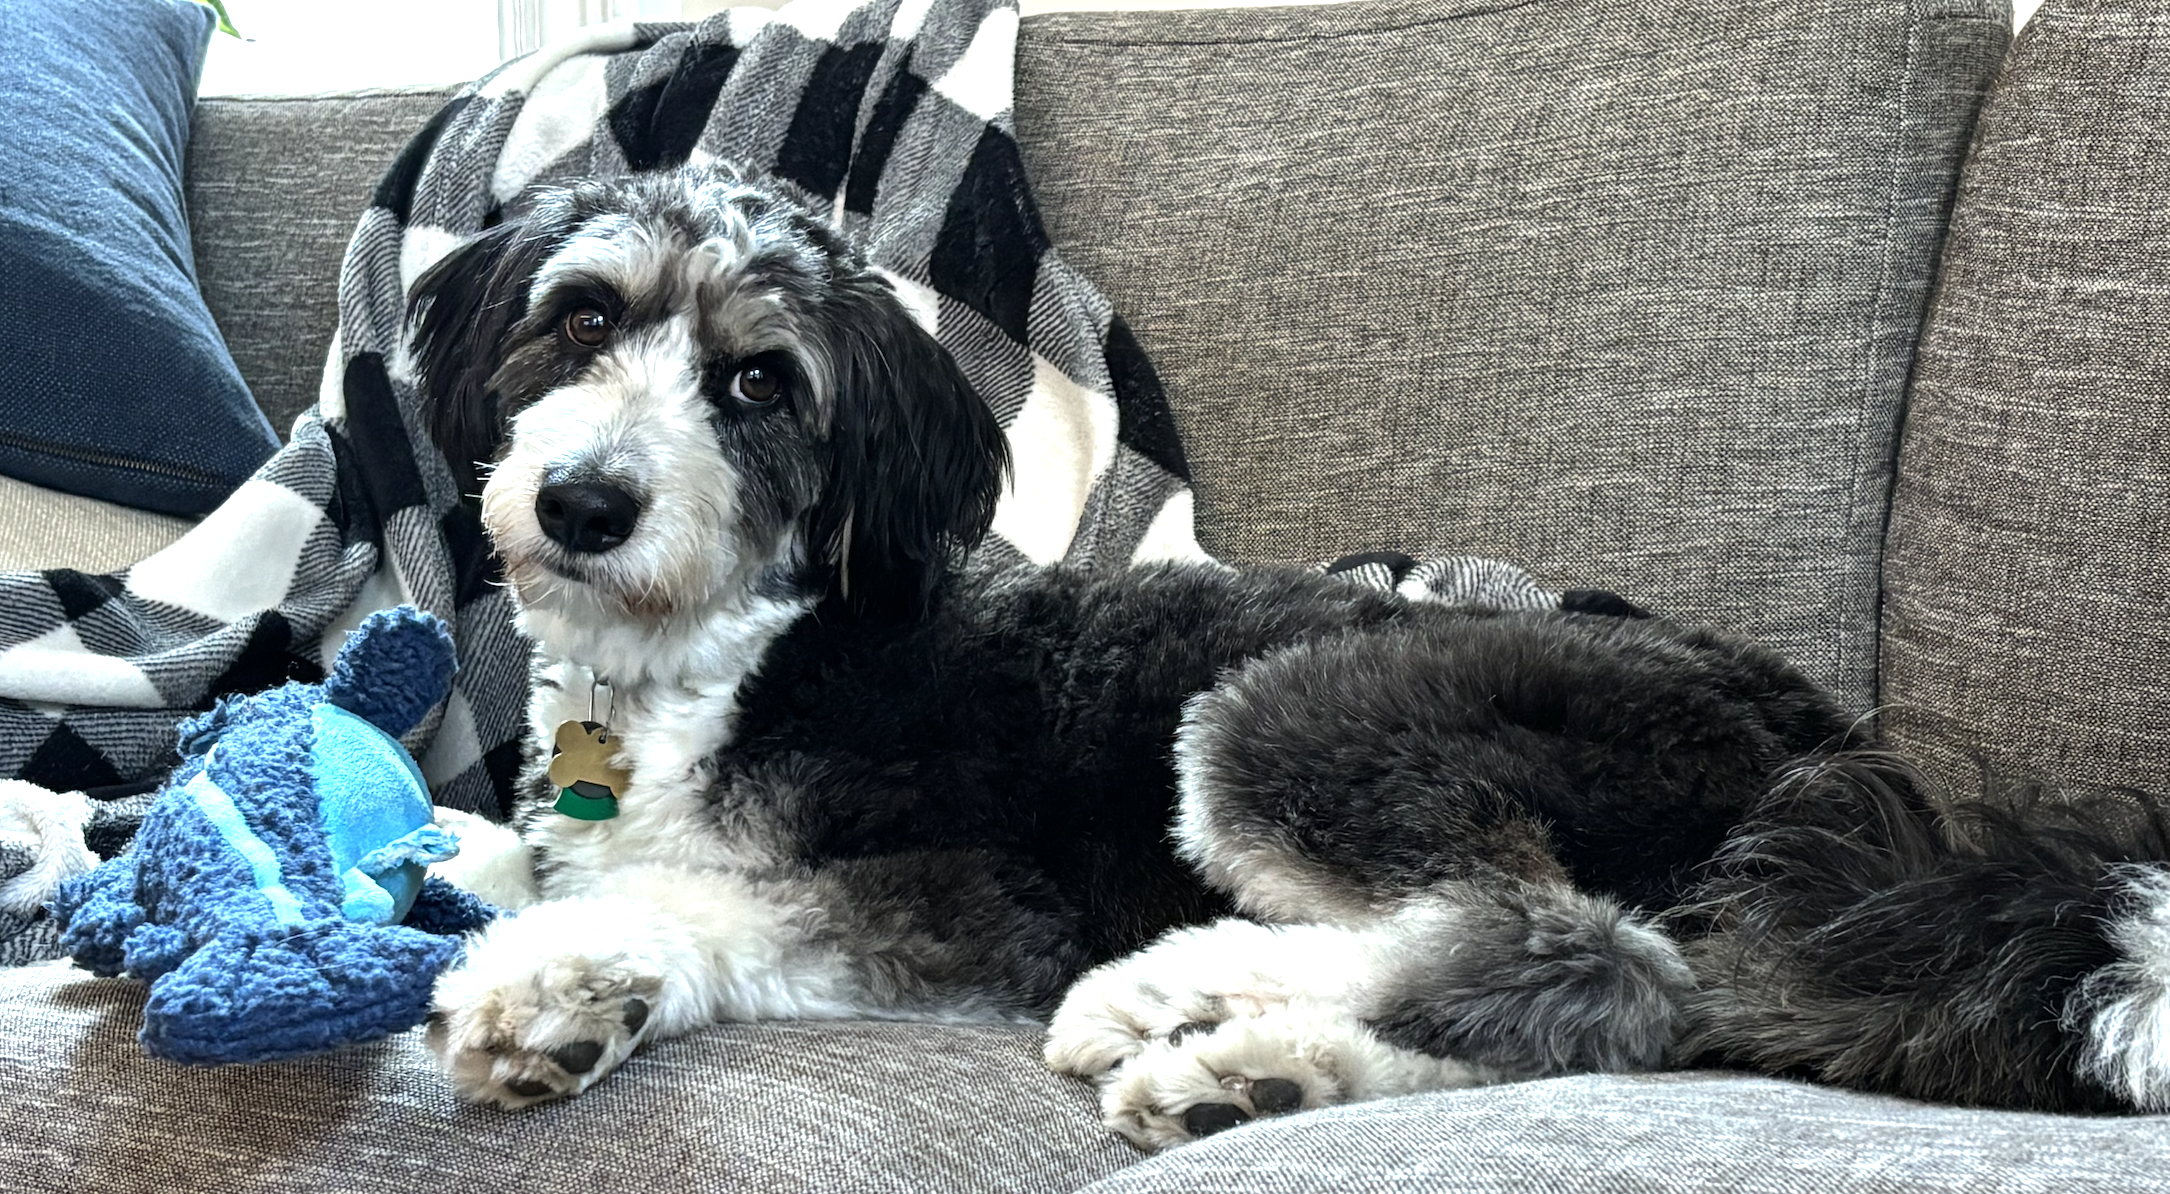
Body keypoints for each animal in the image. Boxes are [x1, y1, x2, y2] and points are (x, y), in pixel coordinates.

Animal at [410, 168, 2170, 1154]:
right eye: (581, 319)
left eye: (760, 382)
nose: (582, 502)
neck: (731, 651)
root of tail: (1825, 749)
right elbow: (496, 850)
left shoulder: (979, 890)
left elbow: (703, 899)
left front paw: (554, 985)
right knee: (1623, 1005)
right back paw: (1233, 1058)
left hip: (1289, 710)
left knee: (1579, 953)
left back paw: (1198, 1010)